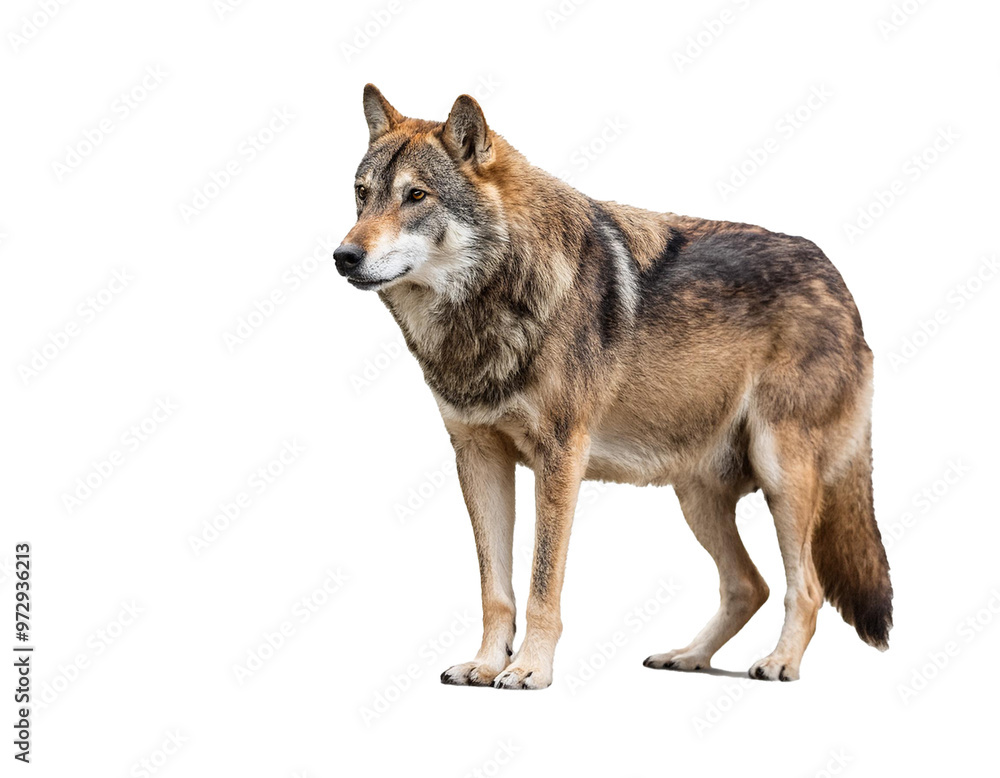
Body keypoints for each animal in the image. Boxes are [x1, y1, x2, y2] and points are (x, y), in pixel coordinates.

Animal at [335, 85, 892, 689]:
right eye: (361, 195)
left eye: (416, 195)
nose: (343, 256)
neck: (494, 301)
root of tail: (839, 280)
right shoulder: (478, 456)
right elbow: (494, 589)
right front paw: (485, 664)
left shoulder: (561, 457)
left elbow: (542, 583)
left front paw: (529, 670)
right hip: (696, 496)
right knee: (749, 585)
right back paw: (687, 656)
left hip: (780, 474)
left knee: (804, 588)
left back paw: (779, 662)